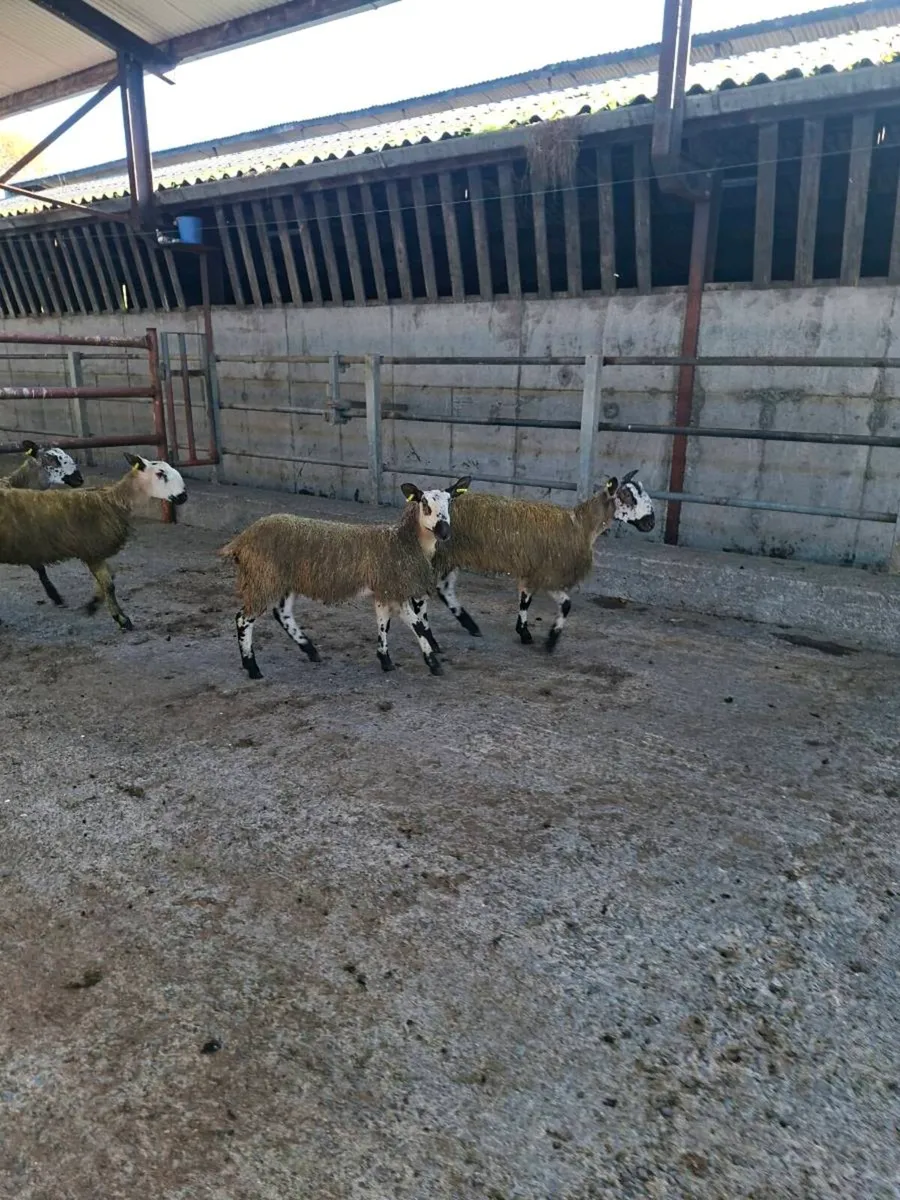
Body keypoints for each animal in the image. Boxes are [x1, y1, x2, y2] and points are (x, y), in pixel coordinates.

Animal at [219, 477, 471, 680]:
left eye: (450, 502)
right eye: (425, 504)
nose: (444, 532)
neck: (403, 540)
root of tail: (242, 539)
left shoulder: (383, 589)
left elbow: (383, 623)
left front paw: (385, 660)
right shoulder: (394, 588)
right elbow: (417, 625)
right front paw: (433, 663)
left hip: (284, 580)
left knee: (282, 613)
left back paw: (310, 650)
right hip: (263, 578)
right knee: (243, 619)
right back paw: (252, 668)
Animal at [423, 471, 655, 652]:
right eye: (627, 495)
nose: (651, 523)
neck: (581, 525)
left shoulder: (536, 569)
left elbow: (527, 599)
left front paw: (525, 632)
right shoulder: (548, 572)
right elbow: (563, 604)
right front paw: (549, 639)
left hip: (451, 556)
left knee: (445, 589)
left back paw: (470, 625)